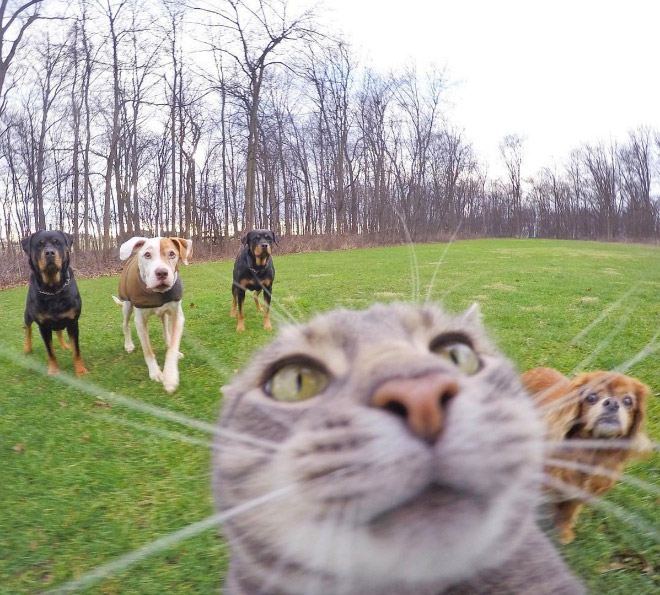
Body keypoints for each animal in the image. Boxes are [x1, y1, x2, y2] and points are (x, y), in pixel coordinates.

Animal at [21, 229, 87, 374]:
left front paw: (80, 370)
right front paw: (53, 371)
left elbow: (76, 350)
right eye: (39, 244)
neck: (53, 290)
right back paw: (27, 348)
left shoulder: (73, 322)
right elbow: (50, 351)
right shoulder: (43, 325)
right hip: (27, 314)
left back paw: (65, 345)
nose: (50, 252)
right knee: (28, 328)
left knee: (58, 331)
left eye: (57, 243)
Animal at [111, 237, 192, 396]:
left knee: (165, 327)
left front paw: (170, 377)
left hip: (165, 313)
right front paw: (155, 372)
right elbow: (148, 350)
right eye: (147, 255)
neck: (157, 293)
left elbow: (172, 347)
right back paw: (128, 345)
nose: (161, 272)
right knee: (125, 324)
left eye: (172, 254)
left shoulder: (178, 316)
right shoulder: (140, 321)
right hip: (127, 304)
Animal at [524, 366, 652, 544]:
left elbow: (568, 512)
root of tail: (539, 368)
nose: (612, 403)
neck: (590, 453)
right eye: (591, 397)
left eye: (627, 401)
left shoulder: (578, 493)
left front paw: (563, 533)